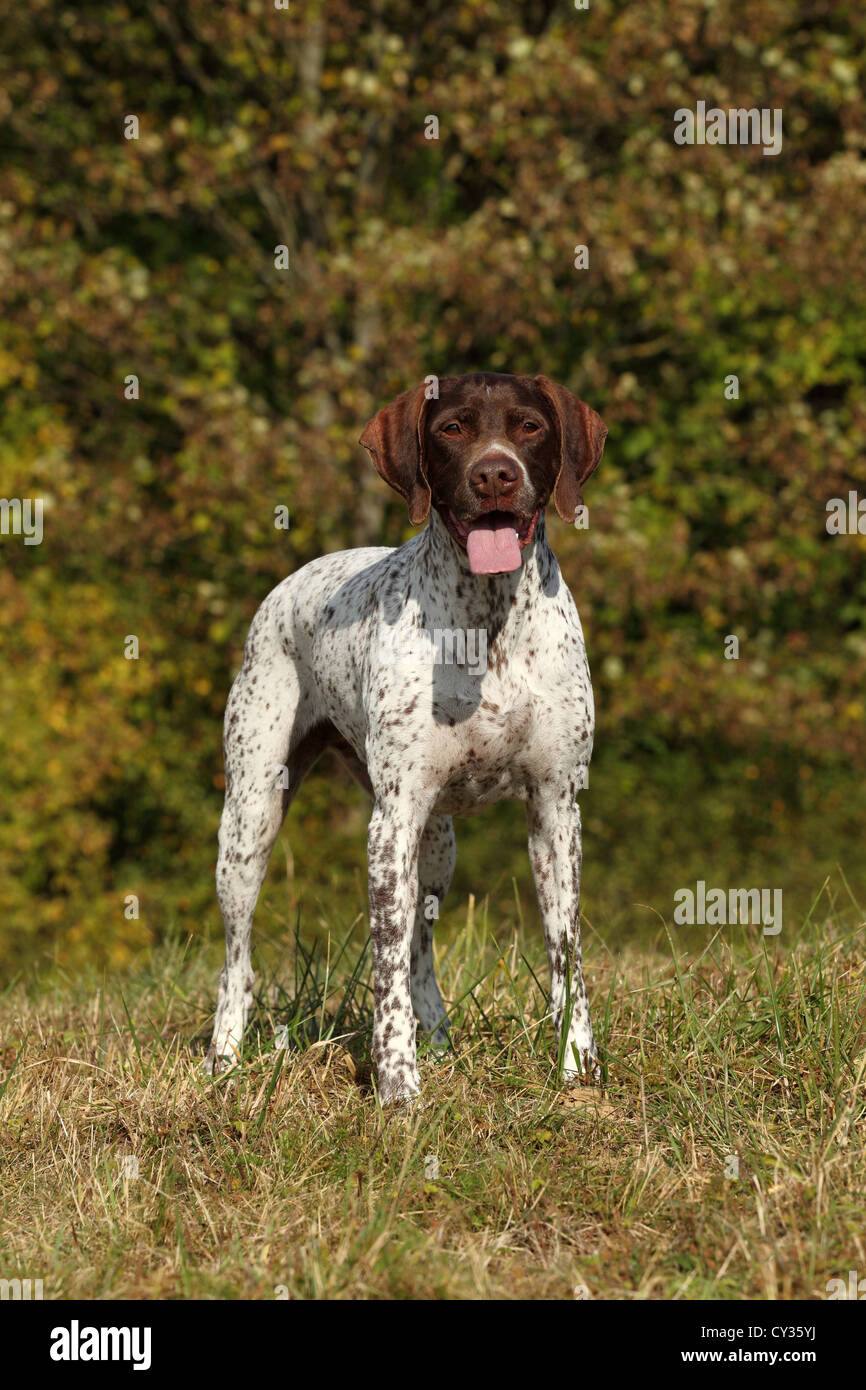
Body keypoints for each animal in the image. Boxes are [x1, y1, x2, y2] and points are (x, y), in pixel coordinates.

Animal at [205, 375, 606, 1100]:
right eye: (452, 429)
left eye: (530, 425)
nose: (495, 474)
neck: (488, 619)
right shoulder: (389, 823)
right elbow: (384, 963)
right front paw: (397, 1088)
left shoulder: (557, 809)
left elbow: (567, 953)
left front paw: (577, 1068)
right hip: (250, 822)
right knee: (237, 958)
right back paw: (224, 1059)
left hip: (436, 846)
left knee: (421, 949)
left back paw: (439, 1039)